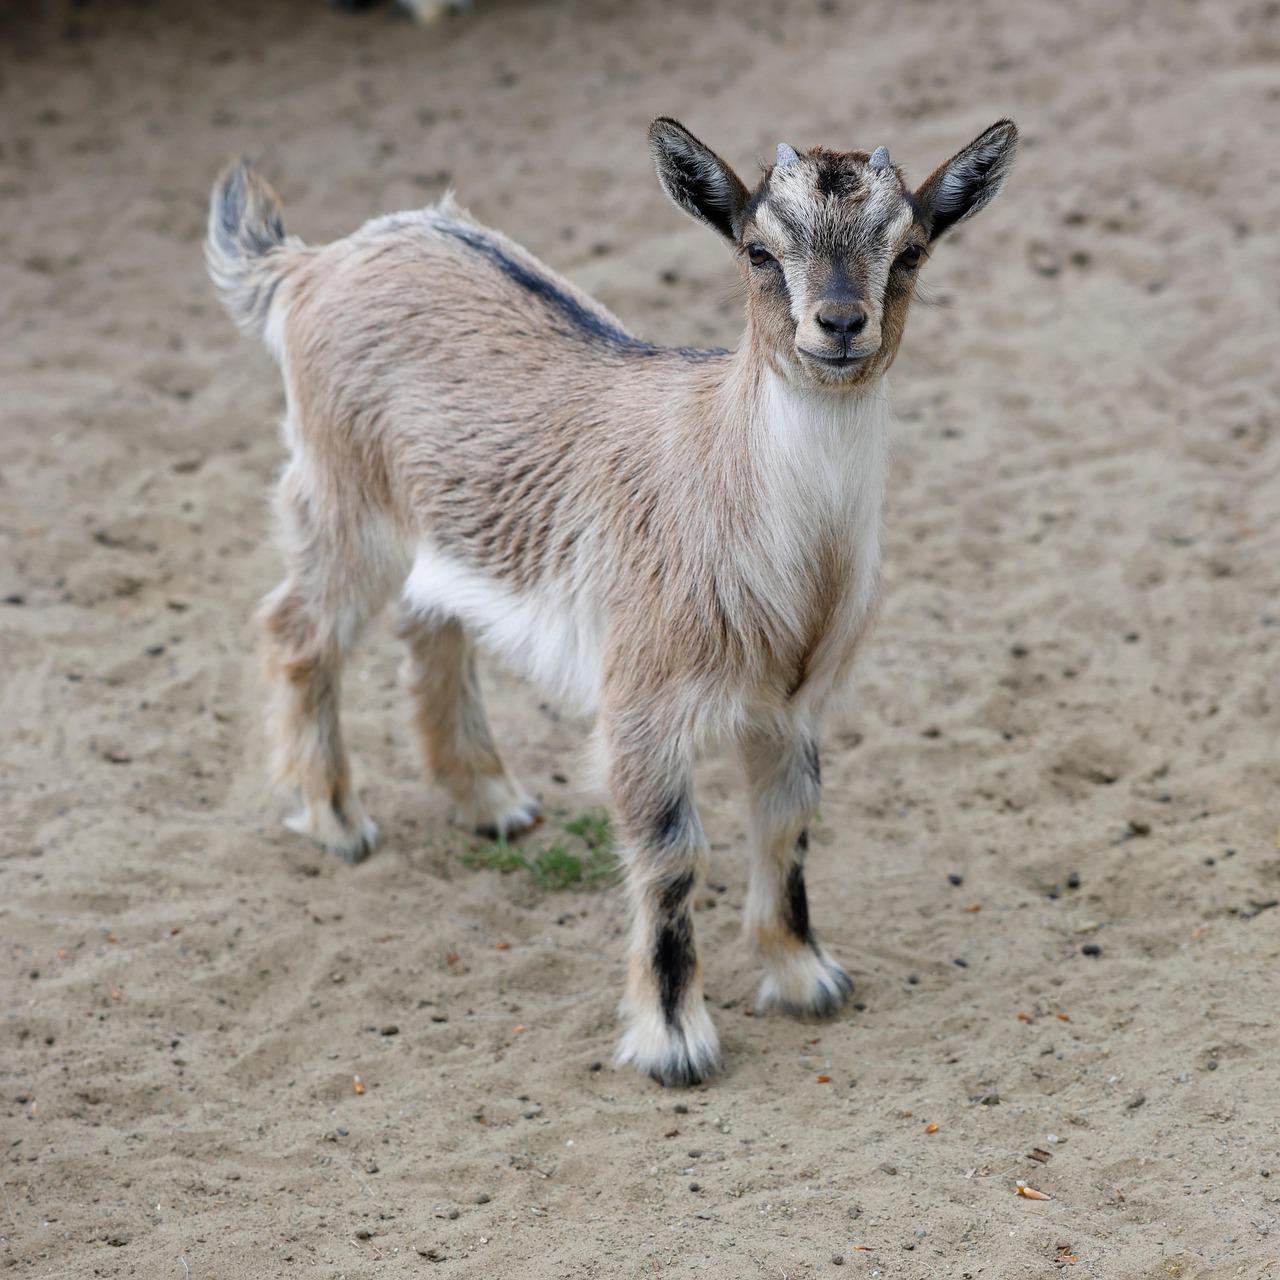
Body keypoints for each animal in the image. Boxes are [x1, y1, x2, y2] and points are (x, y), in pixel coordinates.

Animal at [205, 116, 1017, 1086]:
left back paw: (489, 800)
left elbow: (787, 825)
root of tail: (309, 263)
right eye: (757, 249)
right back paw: (335, 819)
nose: (841, 325)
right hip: (346, 504)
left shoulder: (792, 703)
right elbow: (669, 853)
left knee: (430, 622)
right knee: (295, 629)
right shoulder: (642, 700)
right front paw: (673, 1040)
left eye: (911, 250)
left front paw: (803, 976)